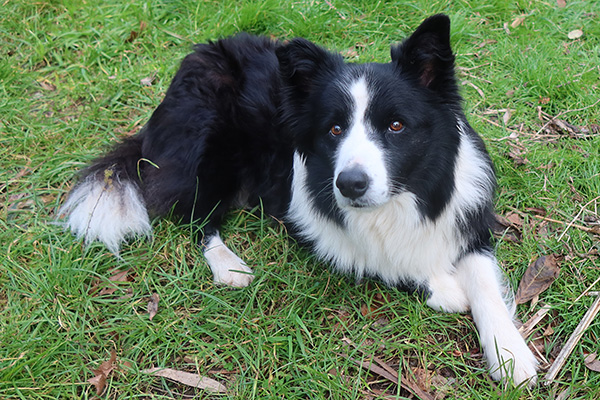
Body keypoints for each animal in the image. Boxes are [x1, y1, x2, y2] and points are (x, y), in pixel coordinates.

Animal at [59, 14, 540, 386]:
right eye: (334, 129)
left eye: (396, 126)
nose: (350, 185)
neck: (405, 198)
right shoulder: (313, 224)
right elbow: (382, 259)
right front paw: (445, 289)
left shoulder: (468, 221)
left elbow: (484, 285)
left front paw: (511, 356)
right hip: (209, 148)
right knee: (197, 217)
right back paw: (228, 264)